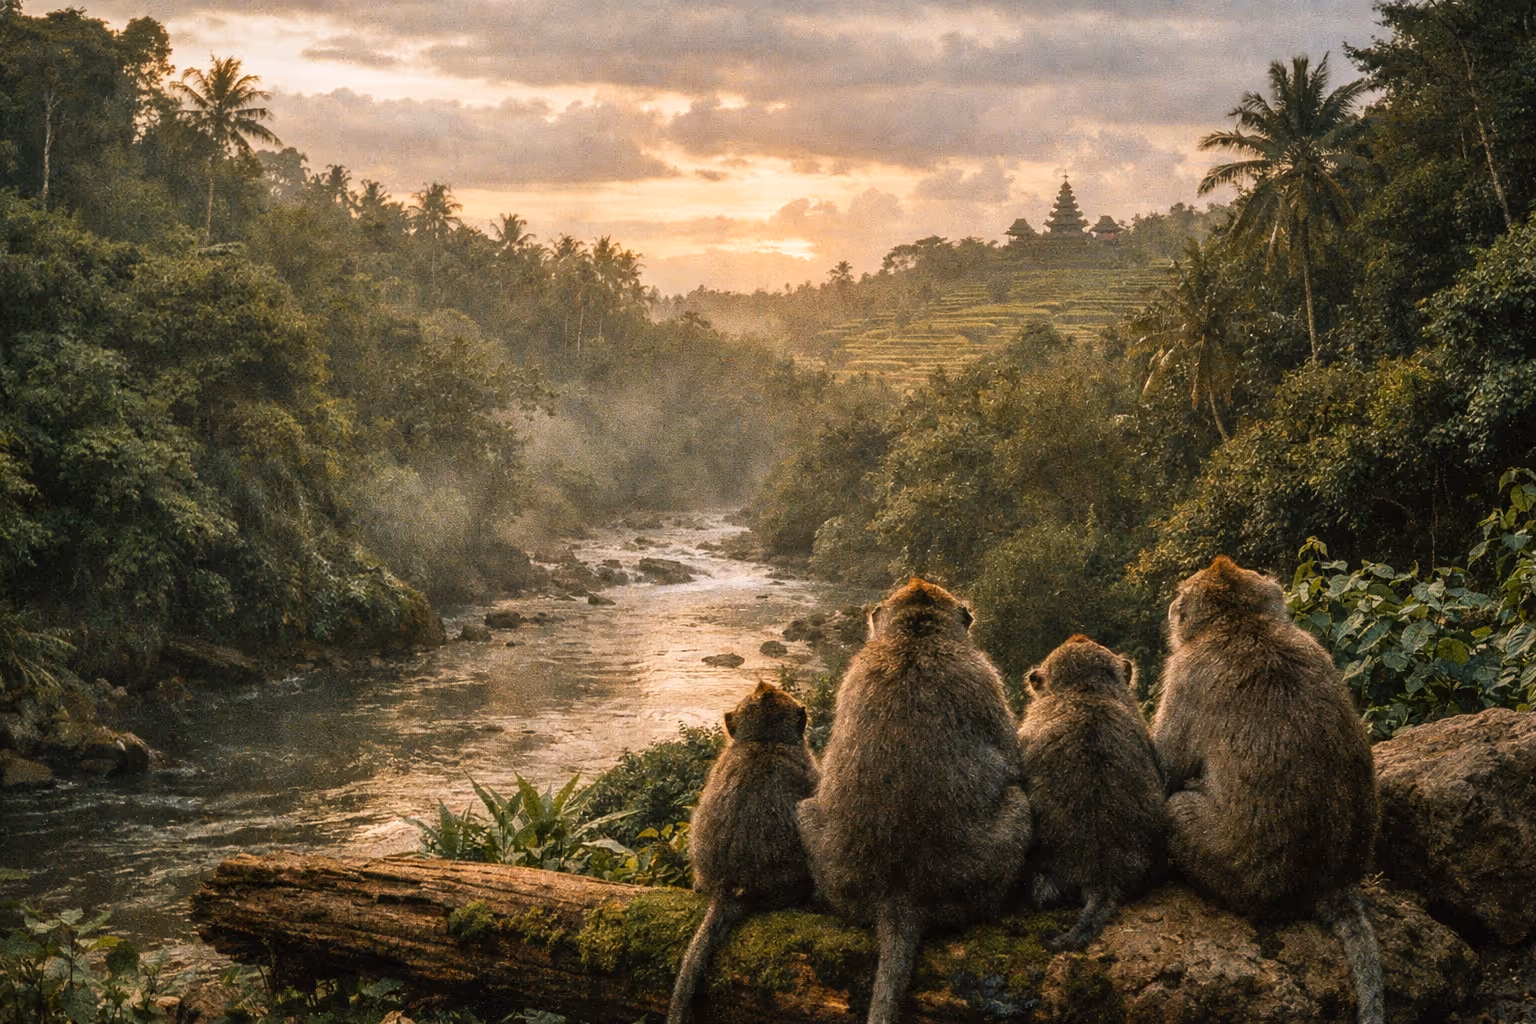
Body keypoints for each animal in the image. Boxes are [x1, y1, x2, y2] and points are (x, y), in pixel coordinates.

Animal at [796, 578, 1031, 1024]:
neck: (915, 637)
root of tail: (900, 891)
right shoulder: (983, 676)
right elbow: (1013, 762)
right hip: (972, 880)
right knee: (1017, 801)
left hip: (836, 876)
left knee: (804, 810)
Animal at [1151, 555, 1384, 1024]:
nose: (1170, 611)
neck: (1242, 621)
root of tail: (1330, 880)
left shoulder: (1184, 674)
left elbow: (1166, 770)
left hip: (1236, 872)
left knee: (1177, 809)